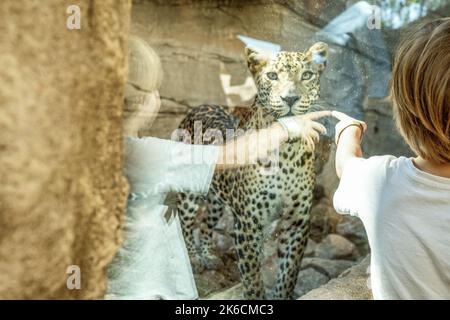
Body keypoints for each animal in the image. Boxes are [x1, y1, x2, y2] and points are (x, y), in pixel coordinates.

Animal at [178, 42, 328, 300]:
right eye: (272, 75)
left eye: (307, 75)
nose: (290, 98)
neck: (287, 153)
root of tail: (197, 107)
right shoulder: (248, 223)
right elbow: (252, 277)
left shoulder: (297, 223)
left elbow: (288, 274)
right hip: (189, 192)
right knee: (187, 224)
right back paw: (195, 260)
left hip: (217, 199)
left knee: (206, 223)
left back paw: (208, 256)